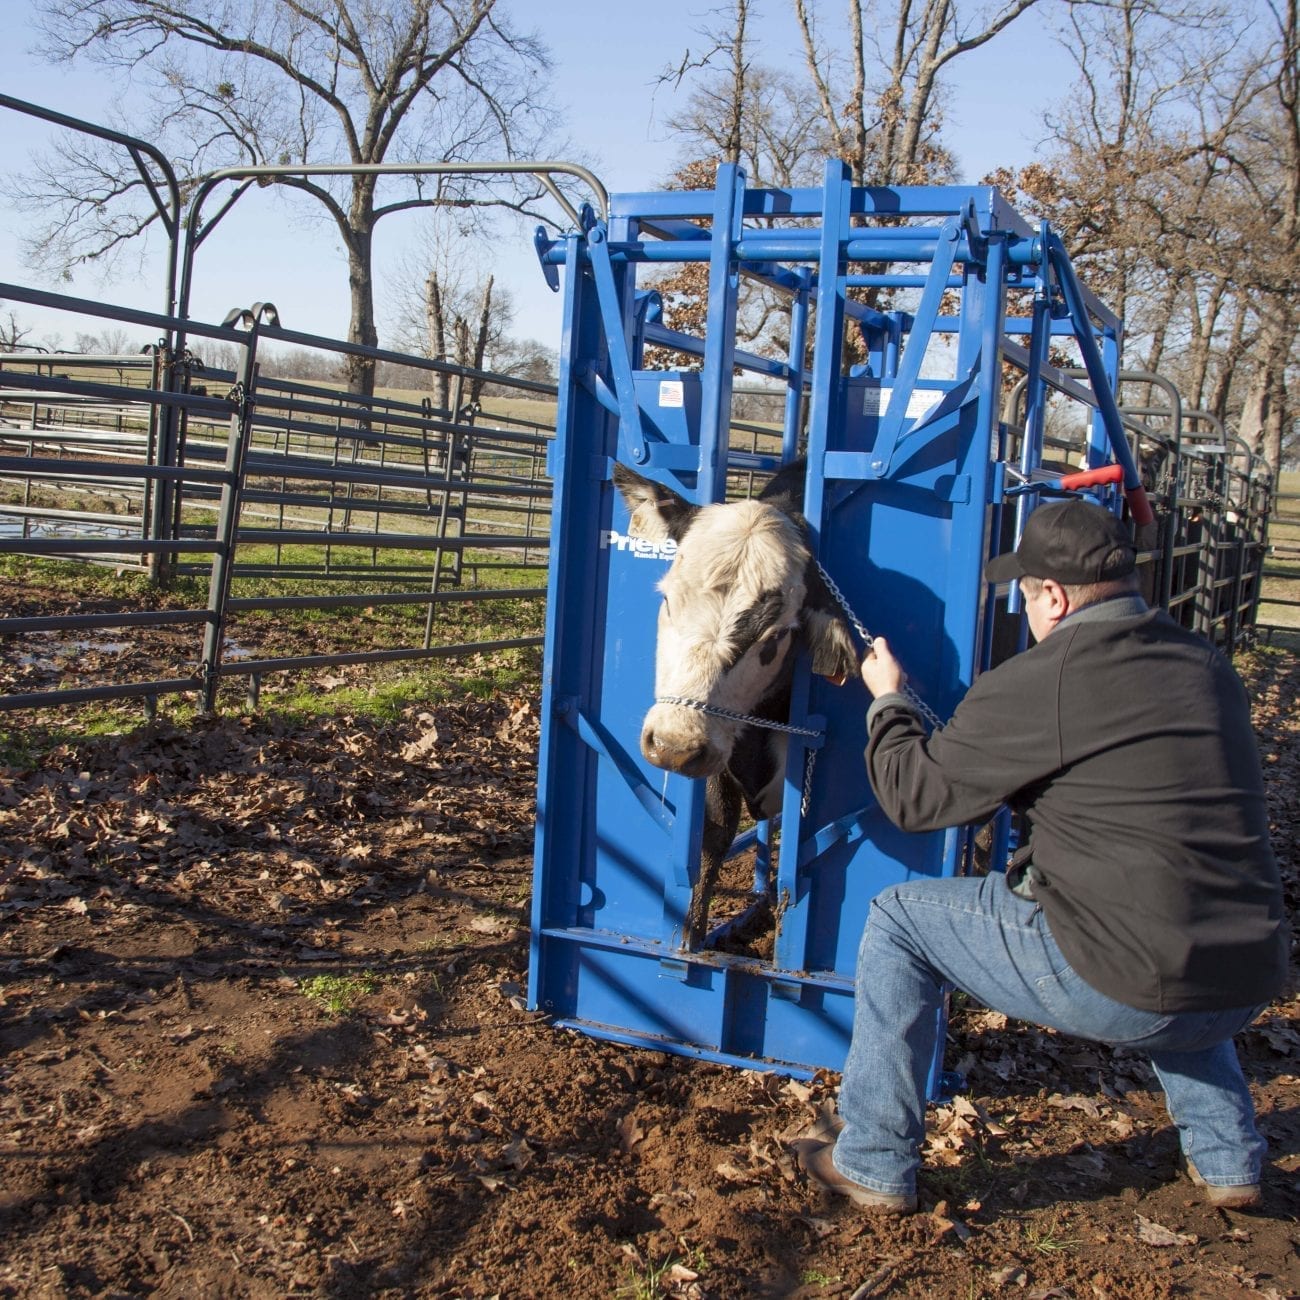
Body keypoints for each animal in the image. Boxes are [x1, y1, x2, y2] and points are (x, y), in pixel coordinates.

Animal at [611, 462, 863, 951]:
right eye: (667, 599)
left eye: (776, 636)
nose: (674, 744)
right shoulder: (717, 770)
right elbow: (711, 846)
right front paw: (690, 942)